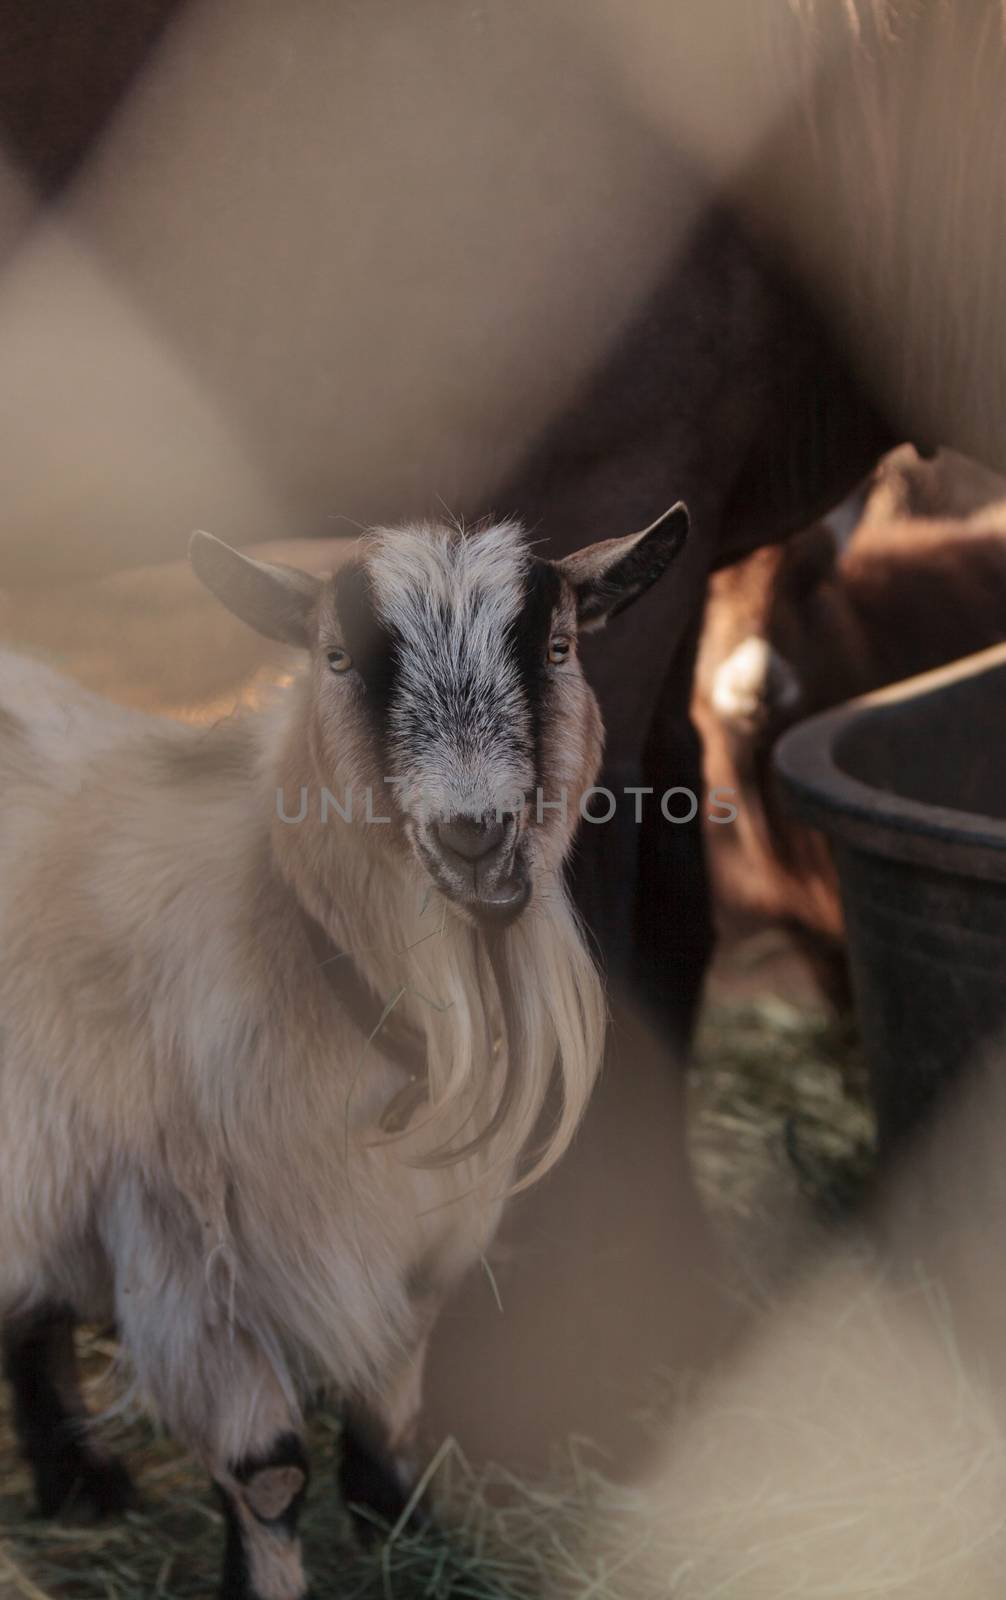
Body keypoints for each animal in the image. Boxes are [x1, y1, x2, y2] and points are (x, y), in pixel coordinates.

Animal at [0, 505, 681, 1600]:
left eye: (559, 649)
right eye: (333, 656)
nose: (474, 835)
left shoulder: (416, 1232)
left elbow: (392, 1407)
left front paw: (412, 1534)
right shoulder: (184, 1240)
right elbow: (268, 1466)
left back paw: (79, 1482)